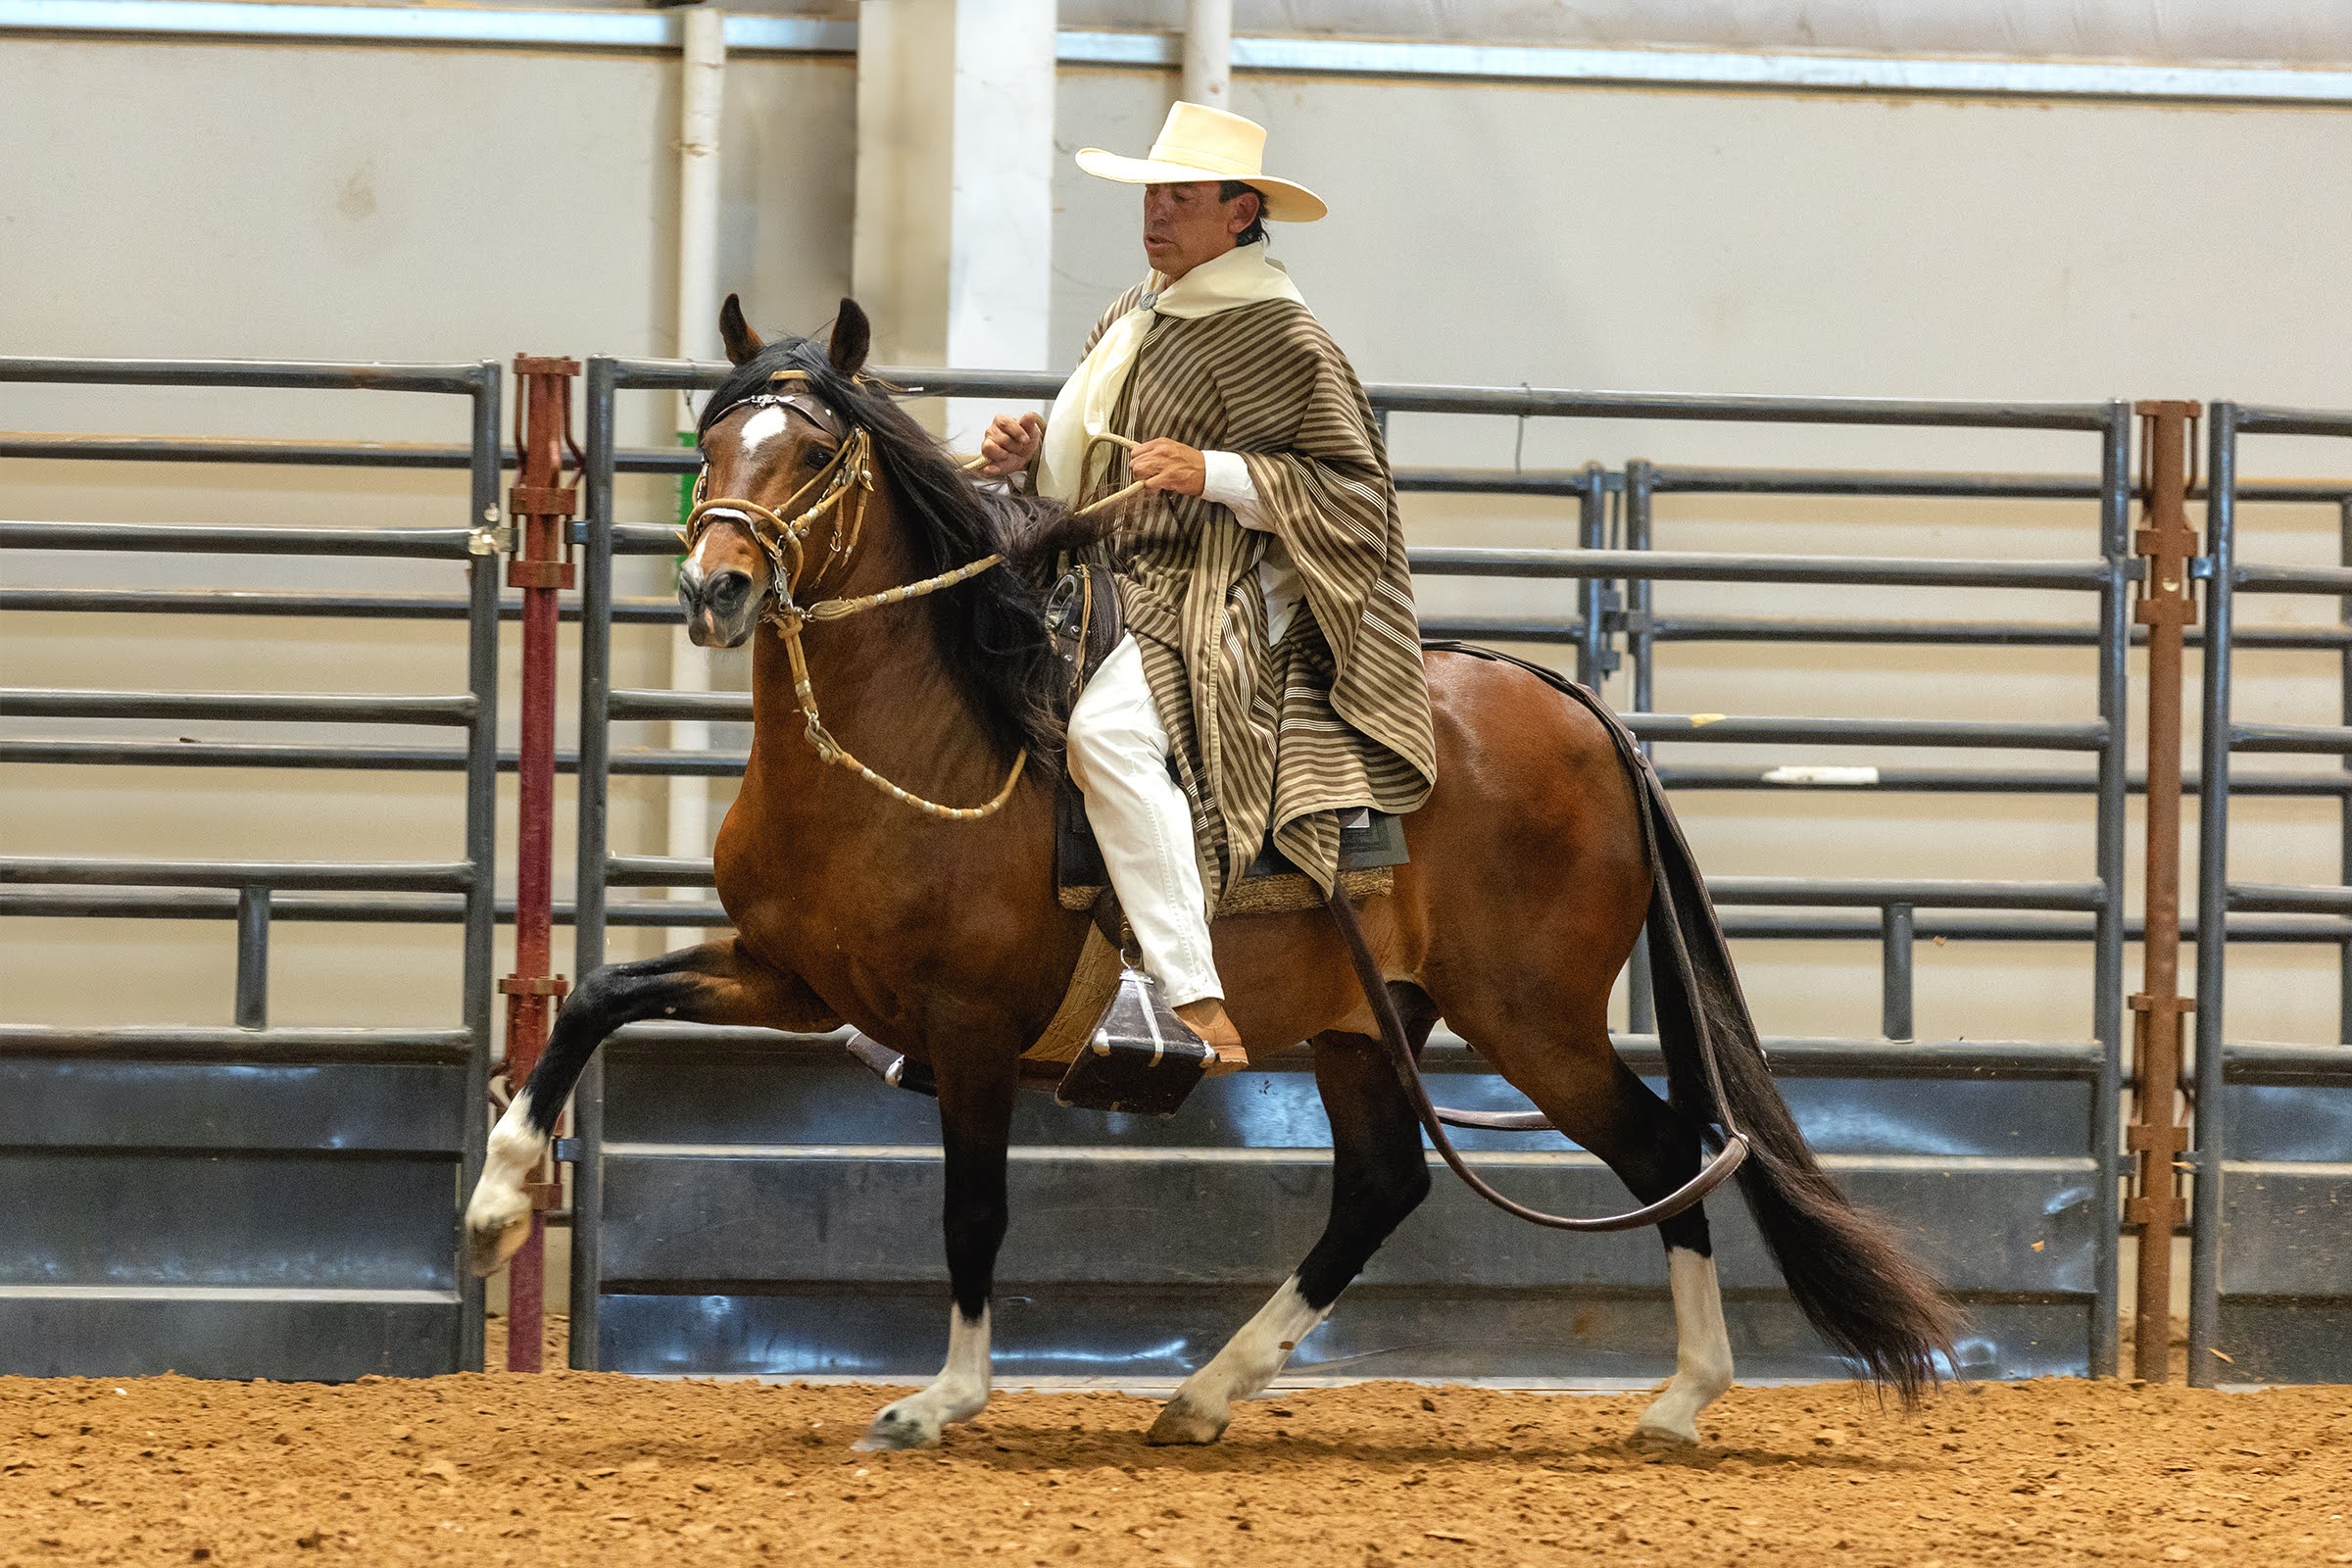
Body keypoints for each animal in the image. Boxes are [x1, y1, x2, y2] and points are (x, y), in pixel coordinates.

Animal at [465, 297, 1953, 1451]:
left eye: (817, 449)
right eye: (712, 435)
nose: (713, 588)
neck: (927, 740)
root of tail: (1580, 713)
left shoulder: (971, 1031)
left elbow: (972, 1209)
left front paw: (939, 1400)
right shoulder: (789, 978)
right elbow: (595, 996)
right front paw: (496, 1202)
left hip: (1531, 1017)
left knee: (1662, 1148)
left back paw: (1682, 1400)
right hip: (1371, 1025)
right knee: (1386, 1184)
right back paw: (1205, 1395)